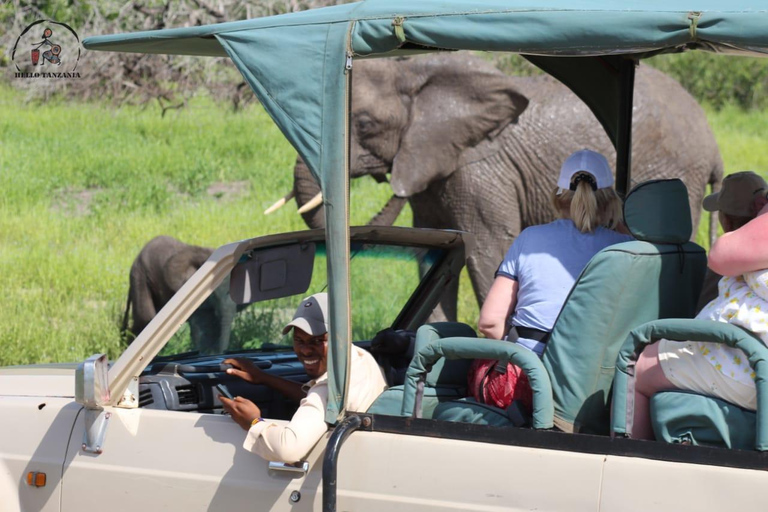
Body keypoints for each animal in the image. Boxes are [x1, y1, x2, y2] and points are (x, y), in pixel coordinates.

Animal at [284, 52, 724, 316]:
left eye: (364, 125)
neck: (414, 71)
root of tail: (712, 139)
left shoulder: (482, 171)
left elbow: (485, 251)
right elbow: (433, 251)